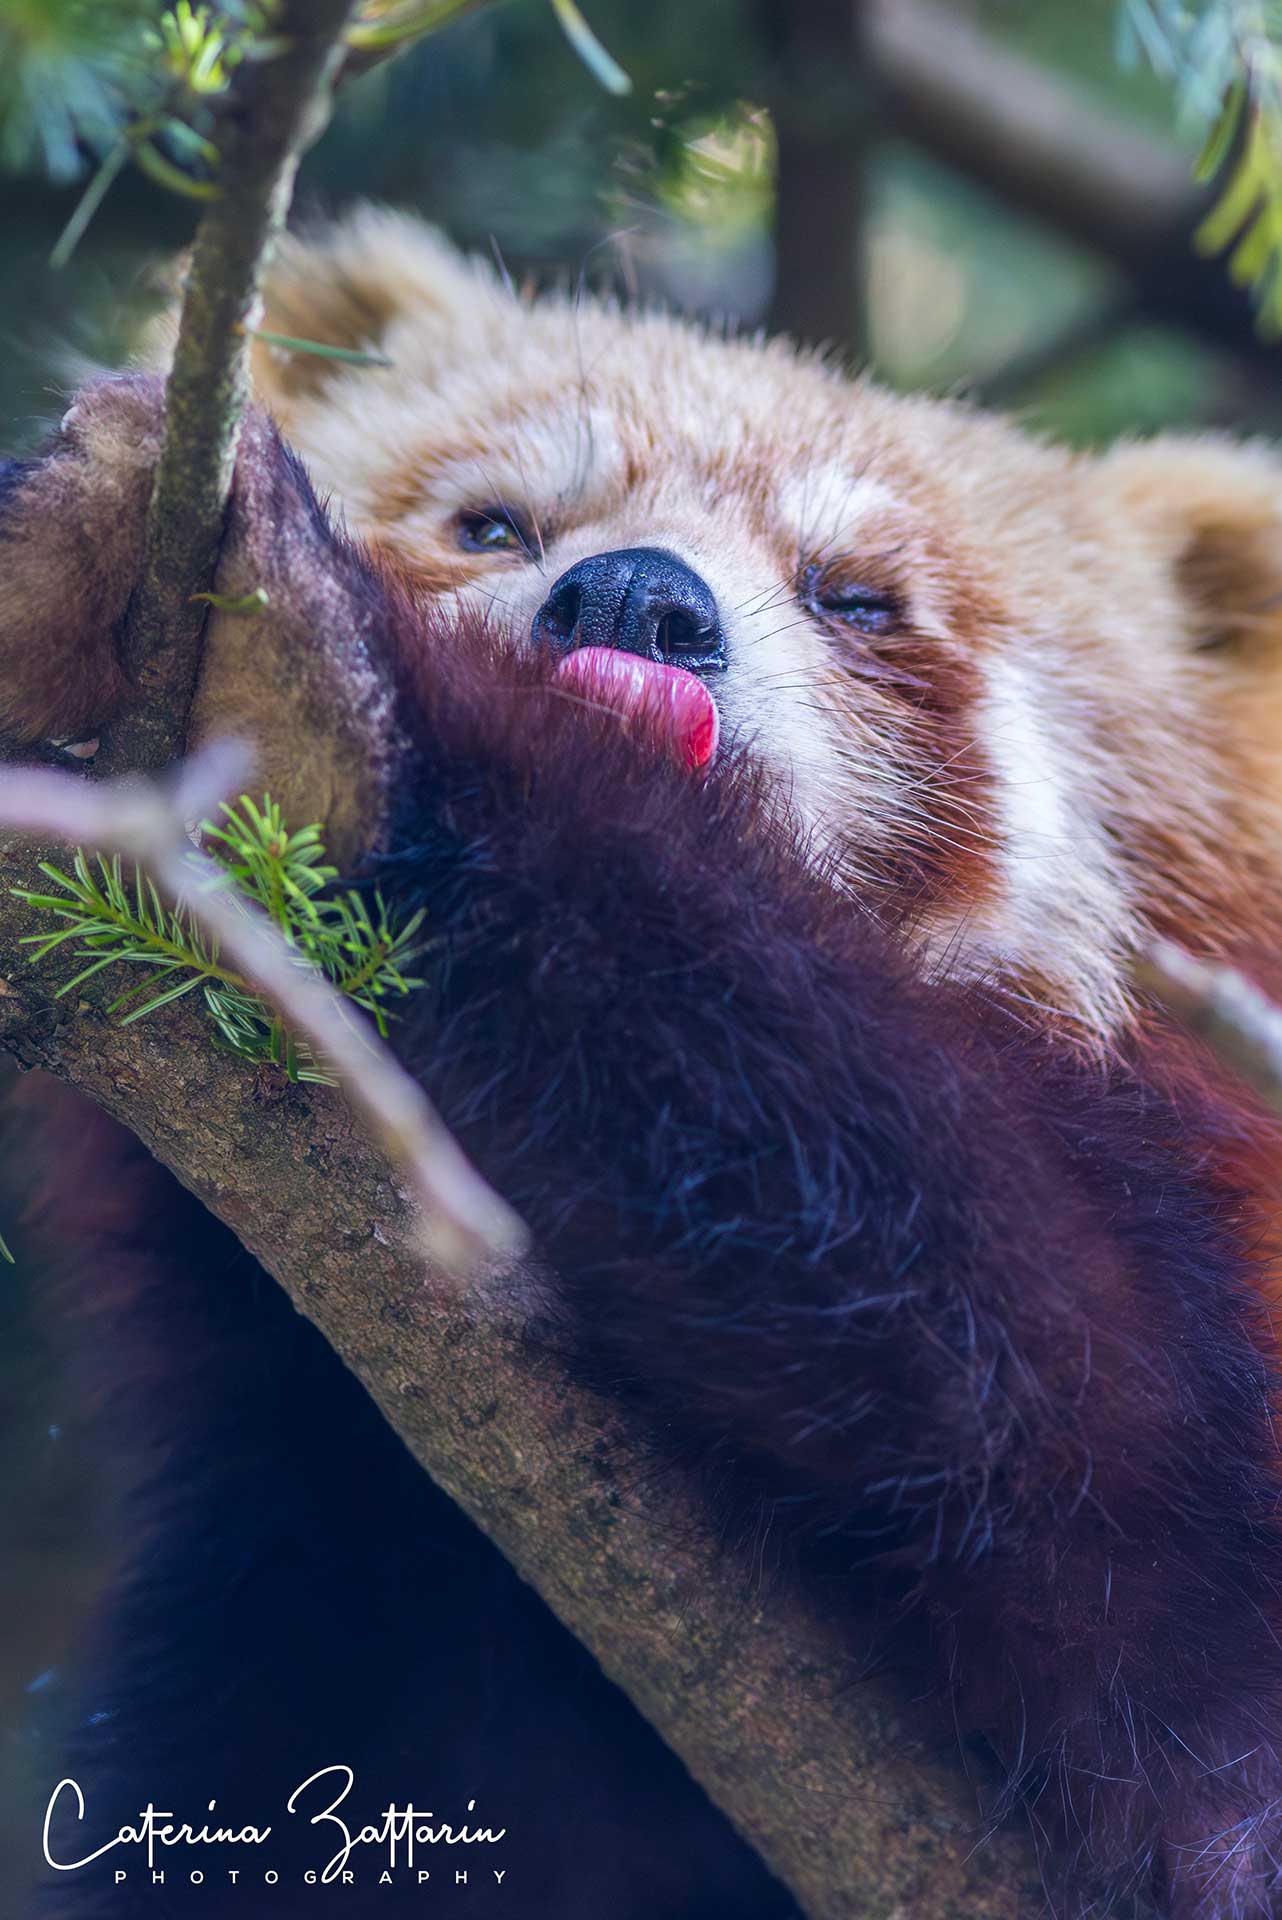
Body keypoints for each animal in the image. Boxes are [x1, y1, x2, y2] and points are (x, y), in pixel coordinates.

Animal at [5, 207, 1282, 1919]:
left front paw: (342, 695)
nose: (632, 597)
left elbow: (1060, 1396)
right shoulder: (352, 1579)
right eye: (493, 524)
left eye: (857, 598)